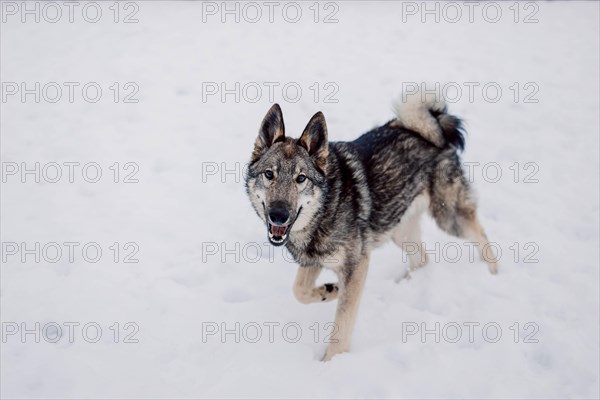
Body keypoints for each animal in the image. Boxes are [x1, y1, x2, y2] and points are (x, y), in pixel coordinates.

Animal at [244, 92, 496, 360]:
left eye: (301, 178)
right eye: (269, 174)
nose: (278, 215)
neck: (327, 206)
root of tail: (434, 125)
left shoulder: (356, 264)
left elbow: (342, 324)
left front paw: (331, 362)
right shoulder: (315, 258)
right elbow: (299, 290)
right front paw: (329, 291)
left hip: (449, 217)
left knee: (481, 235)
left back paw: (493, 274)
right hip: (399, 228)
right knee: (422, 259)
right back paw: (408, 284)